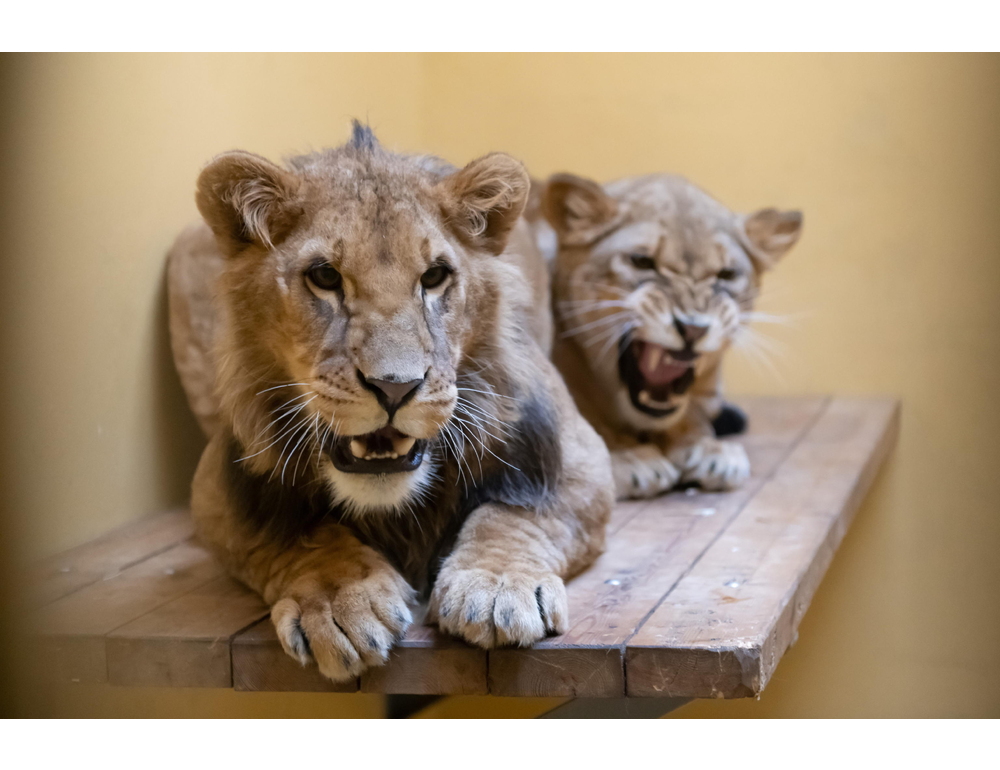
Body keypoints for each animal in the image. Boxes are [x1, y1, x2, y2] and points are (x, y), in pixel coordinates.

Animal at [166, 124, 614, 683]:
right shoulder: (218, 492)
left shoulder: (577, 455)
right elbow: (302, 535)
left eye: (435, 276)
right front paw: (341, 602)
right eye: (324, 276)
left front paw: (496, 587)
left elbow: (516, 513)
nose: (395, 388)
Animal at [539, 172, 802, 500]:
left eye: (727, 274)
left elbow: (693, 418)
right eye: (641, 261)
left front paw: (710, 451)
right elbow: (582, 417)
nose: (693, 328)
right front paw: (629, 458)